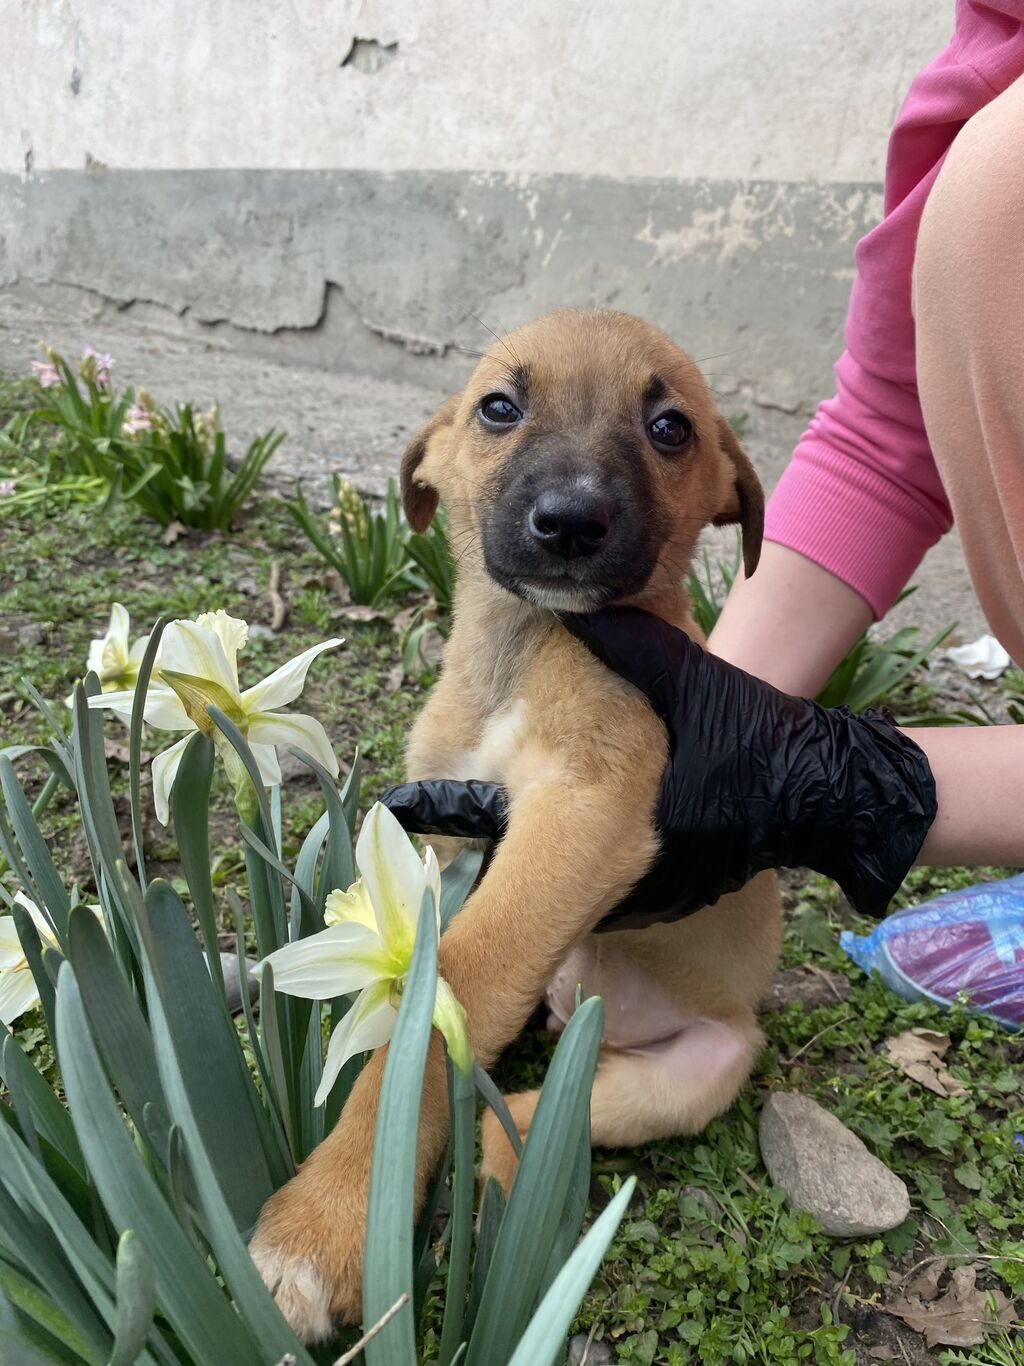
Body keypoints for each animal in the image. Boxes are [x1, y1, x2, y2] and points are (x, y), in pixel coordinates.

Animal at [252, 307, 780, 1333]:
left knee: (532, 1117)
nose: (571, 521)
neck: (522, 654)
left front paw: (334, 1215)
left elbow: (449, 989)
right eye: (498, 407)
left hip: (696, 1071)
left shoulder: (586, 814)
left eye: (671, 428)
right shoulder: (448, 830)